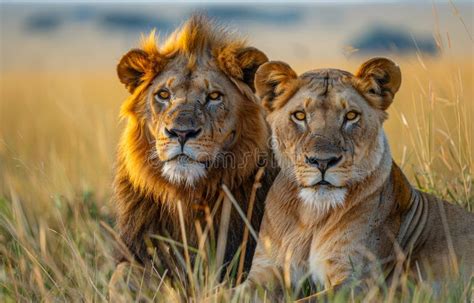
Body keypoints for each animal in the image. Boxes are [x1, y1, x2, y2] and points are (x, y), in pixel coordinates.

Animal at [109, 16, 276, 296]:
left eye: (214, 96)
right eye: (163, 95)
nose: (181, 132)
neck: (189, 195)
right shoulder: (141, 250)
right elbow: (119, 276)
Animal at [243, 57, 474, 296]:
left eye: (351, 116)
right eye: (299, 116)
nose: (323, 161)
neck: (312, 215)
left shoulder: (356, 281)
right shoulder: (264, 272)